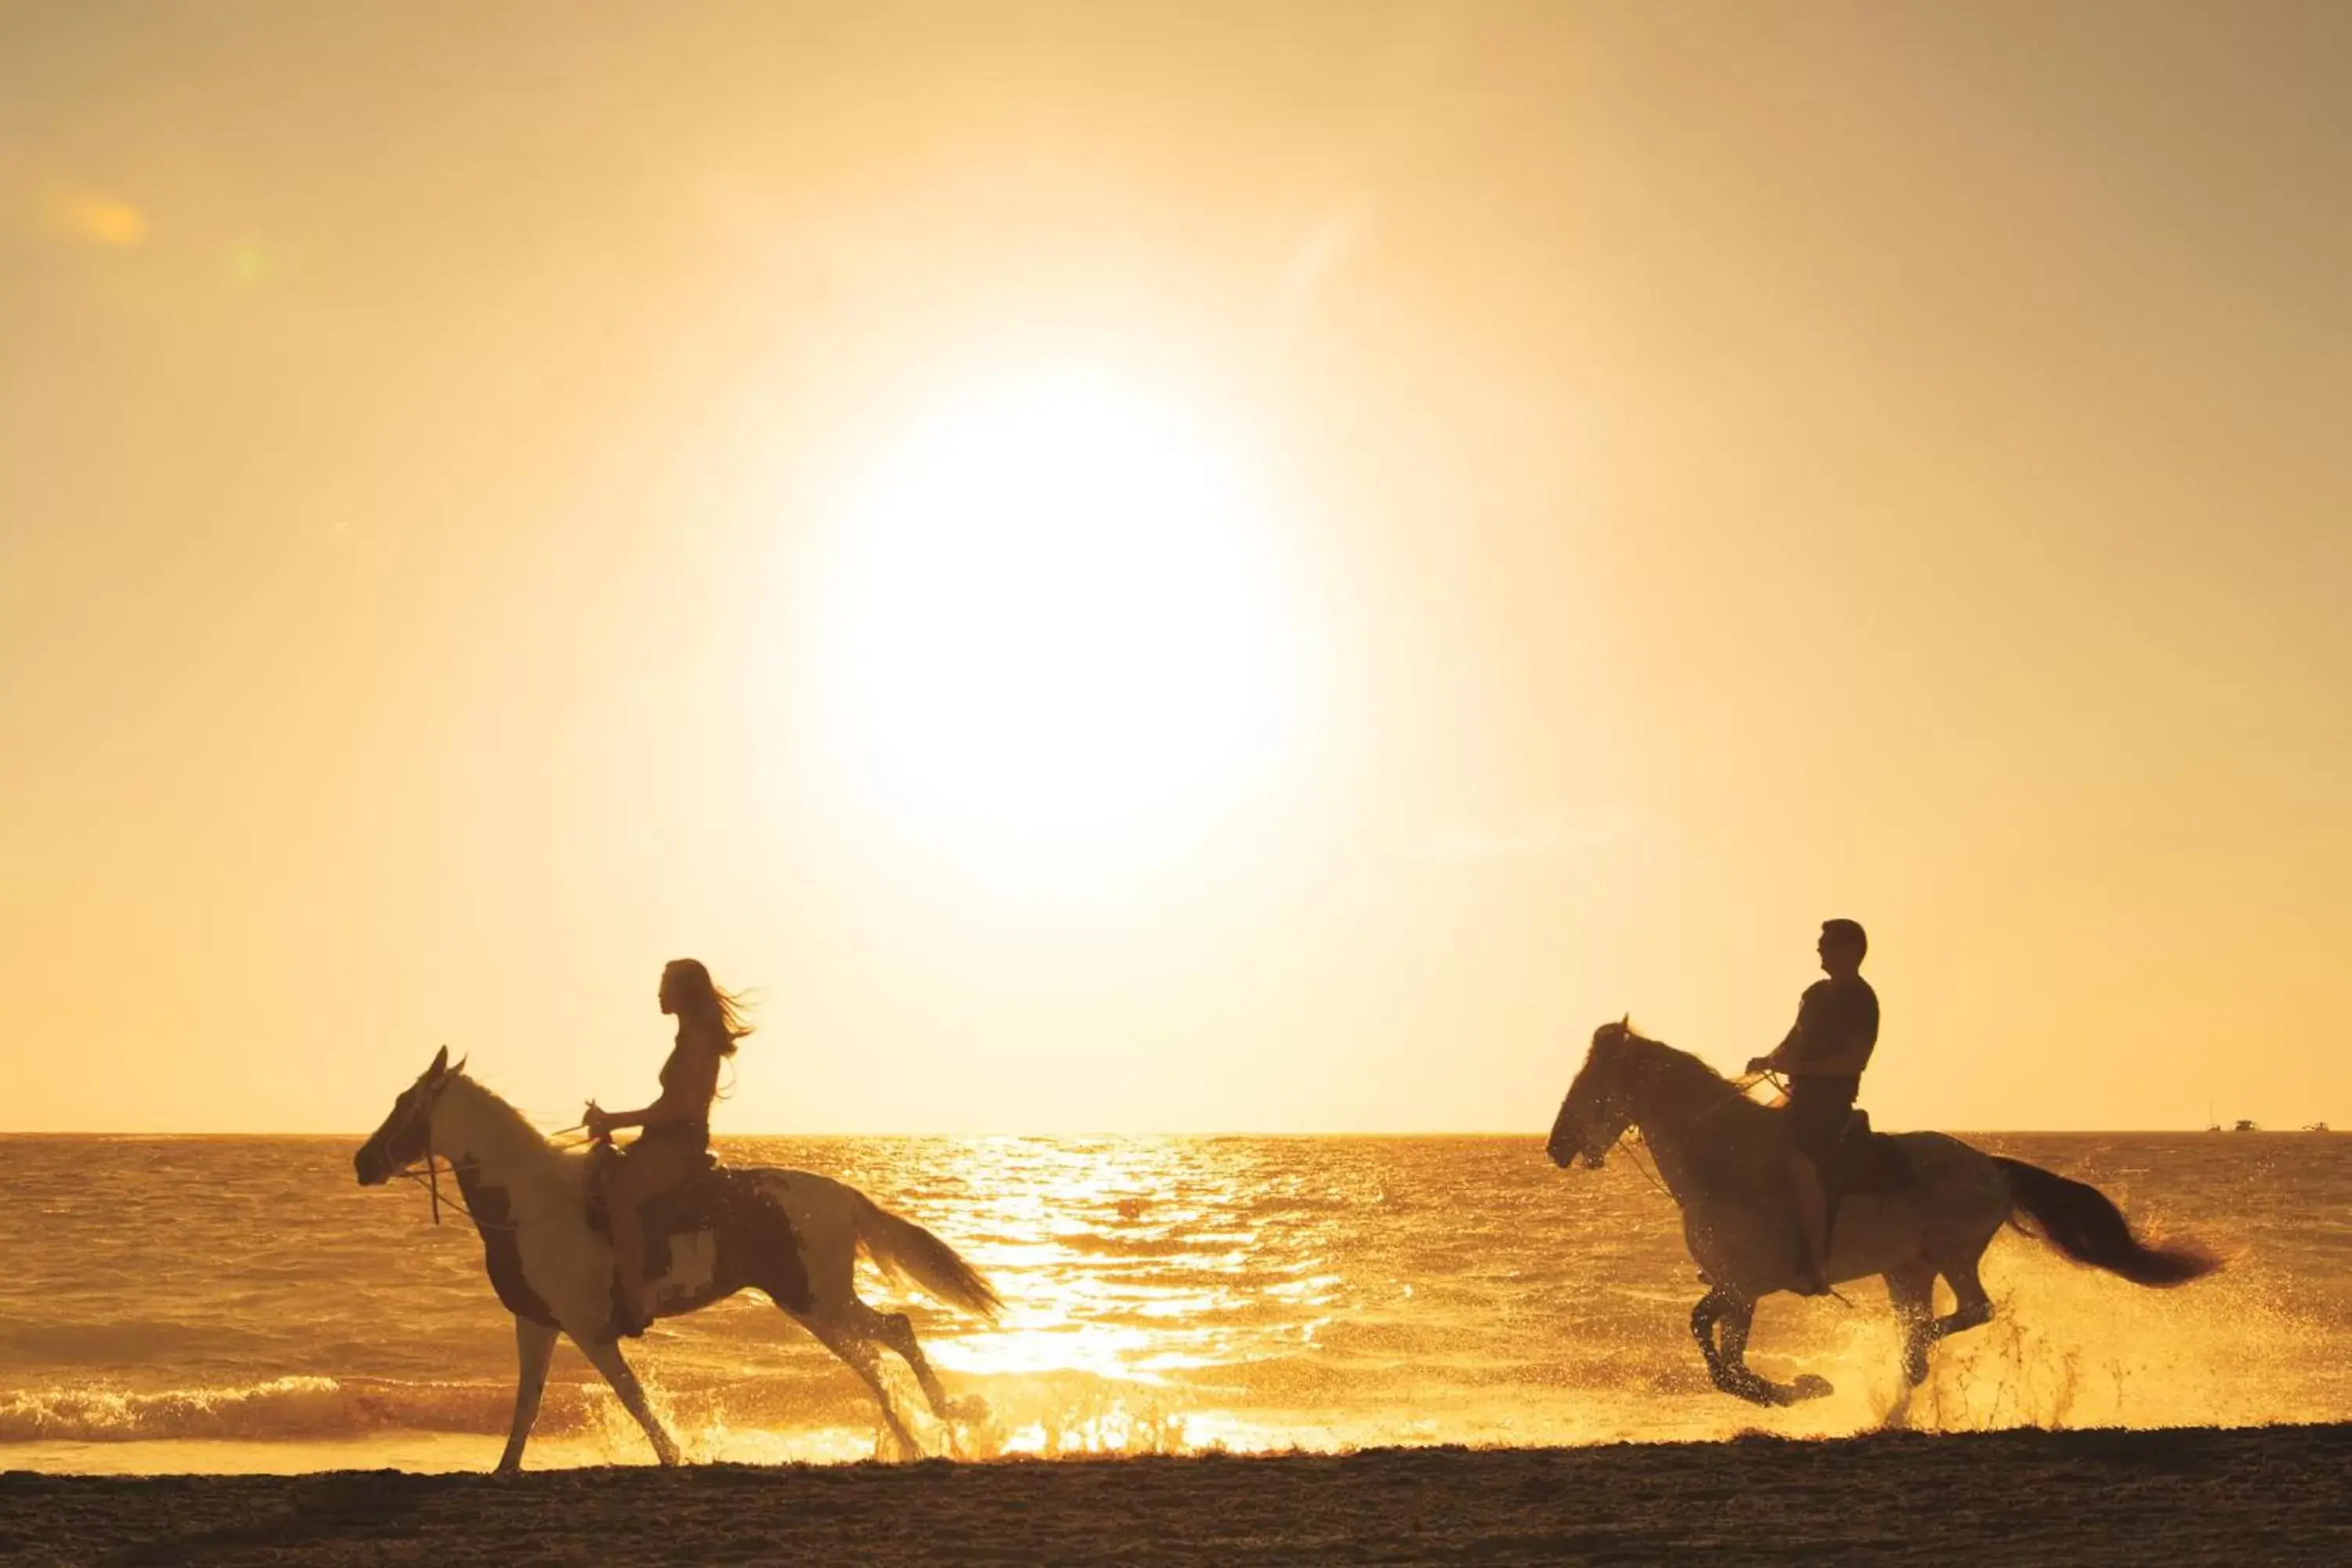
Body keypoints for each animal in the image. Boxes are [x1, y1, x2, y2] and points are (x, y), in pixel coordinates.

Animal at [353, 1053, 997, 1476]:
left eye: (404, 1105)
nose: (362, 1162)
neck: (531, 1203)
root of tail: (842, 1196)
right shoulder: (536, 1322)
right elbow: (527, 1404)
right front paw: (505, 1468)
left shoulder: (587, 1328)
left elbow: (631, 1395)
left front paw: (672, 1454)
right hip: (817, 1306)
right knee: (876, 1354)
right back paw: (919, 1435)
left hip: (817, 1300)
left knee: (892, 1335)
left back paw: (939, 1423)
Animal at [1552, 1029, 2211, 1410]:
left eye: (1590, 1086)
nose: (1557, 1148)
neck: (1722, 1162)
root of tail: (1990, 1168)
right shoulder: (1736, 1289)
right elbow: (1718, 1349)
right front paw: (1788, 1391)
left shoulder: (1746, 1285)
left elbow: (1713, 1343)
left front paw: (1794, 1390)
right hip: (1906, 1270)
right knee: (1929, 1332)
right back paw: (1901, 1385)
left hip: (1951, 1254)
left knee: (1974, 1311)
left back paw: (1913, 1352)